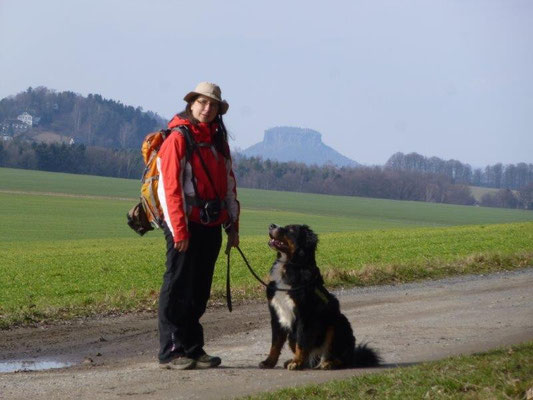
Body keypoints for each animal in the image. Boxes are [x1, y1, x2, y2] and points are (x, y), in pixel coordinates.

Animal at [258, 223, 378, 370]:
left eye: (291, 229)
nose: (271, 225)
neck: (290, 267)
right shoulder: (276, 315)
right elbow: (275, 344)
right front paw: (268, 362)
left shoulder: (304, 315)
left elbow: (301, 342)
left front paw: (296, 362)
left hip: (337, 323)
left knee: (342, 358)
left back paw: (328, 363)